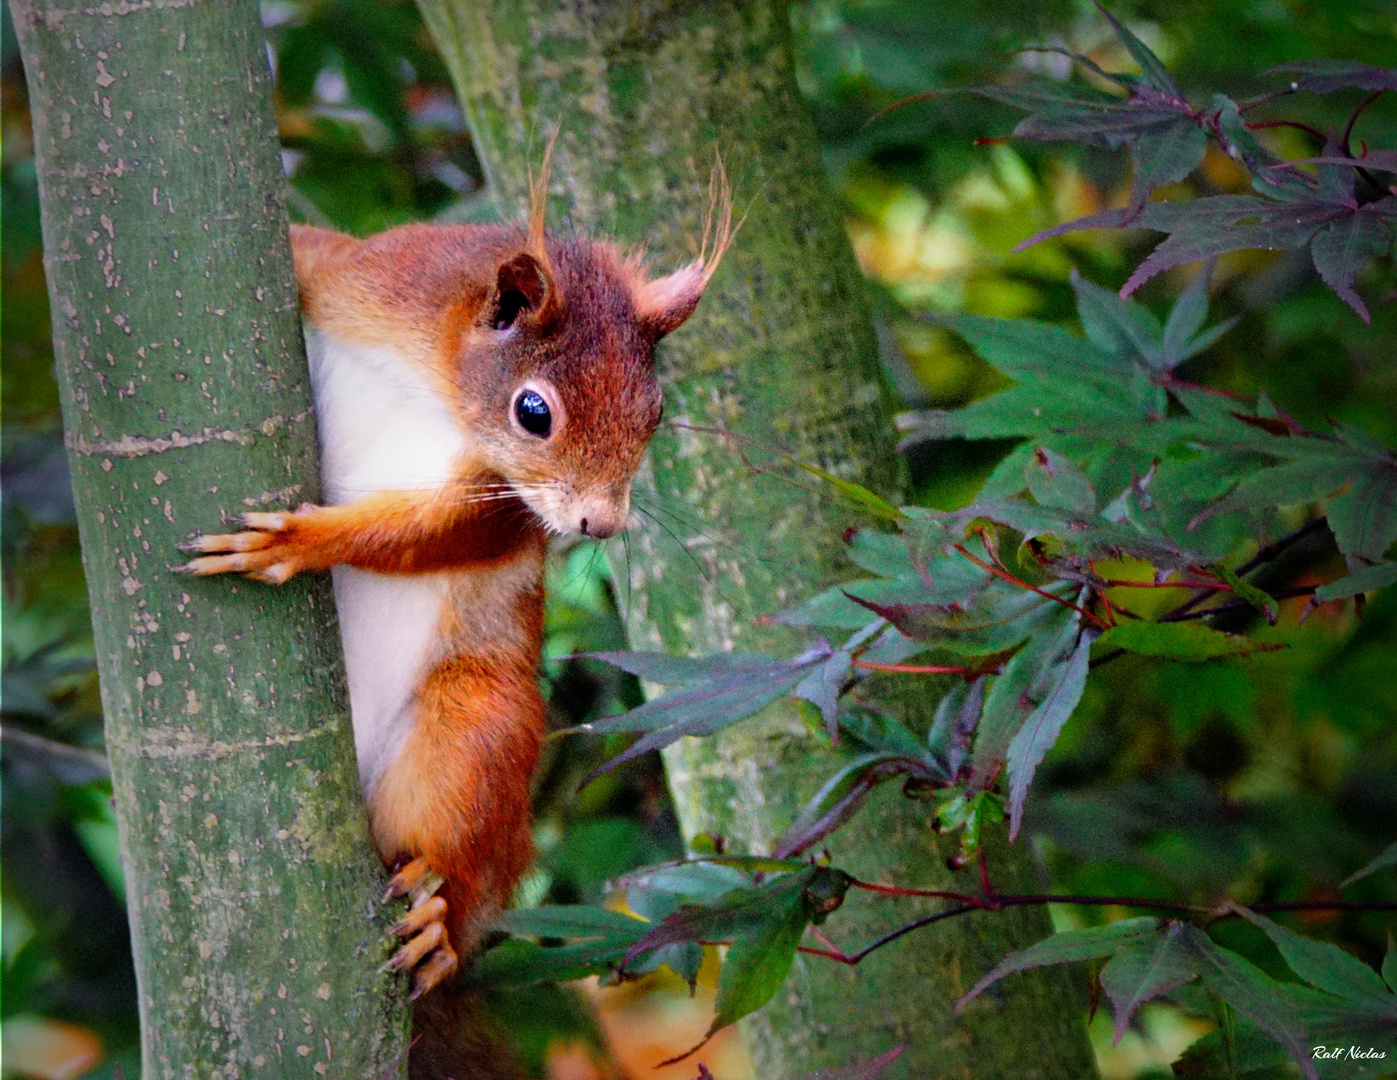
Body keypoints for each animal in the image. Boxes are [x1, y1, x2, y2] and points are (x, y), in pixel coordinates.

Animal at [177, 164, 732, 1056]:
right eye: (533, 411)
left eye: (652, 413)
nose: (600, 524)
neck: (427, 380)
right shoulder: (354, 276)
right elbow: (308, 251)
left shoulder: (494, 503)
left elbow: (422, 532)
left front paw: (299, 538)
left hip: (476, 732)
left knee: (466, 869)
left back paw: (438, 925)